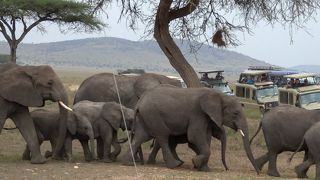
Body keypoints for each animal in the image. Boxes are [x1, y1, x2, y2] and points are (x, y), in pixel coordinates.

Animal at [121, 86, 258, 173]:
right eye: (235, 113)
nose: (227, 169)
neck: (219, 95)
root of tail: (139, 103)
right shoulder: (197, 113)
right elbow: (194, 136)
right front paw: (196, 163)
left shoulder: (205, 117)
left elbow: (203, 138)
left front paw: (204, 169)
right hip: (153, 114)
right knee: (163, 136)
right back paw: (175, 165)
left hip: (145, 116)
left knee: (140, 137)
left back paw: (128, 163)